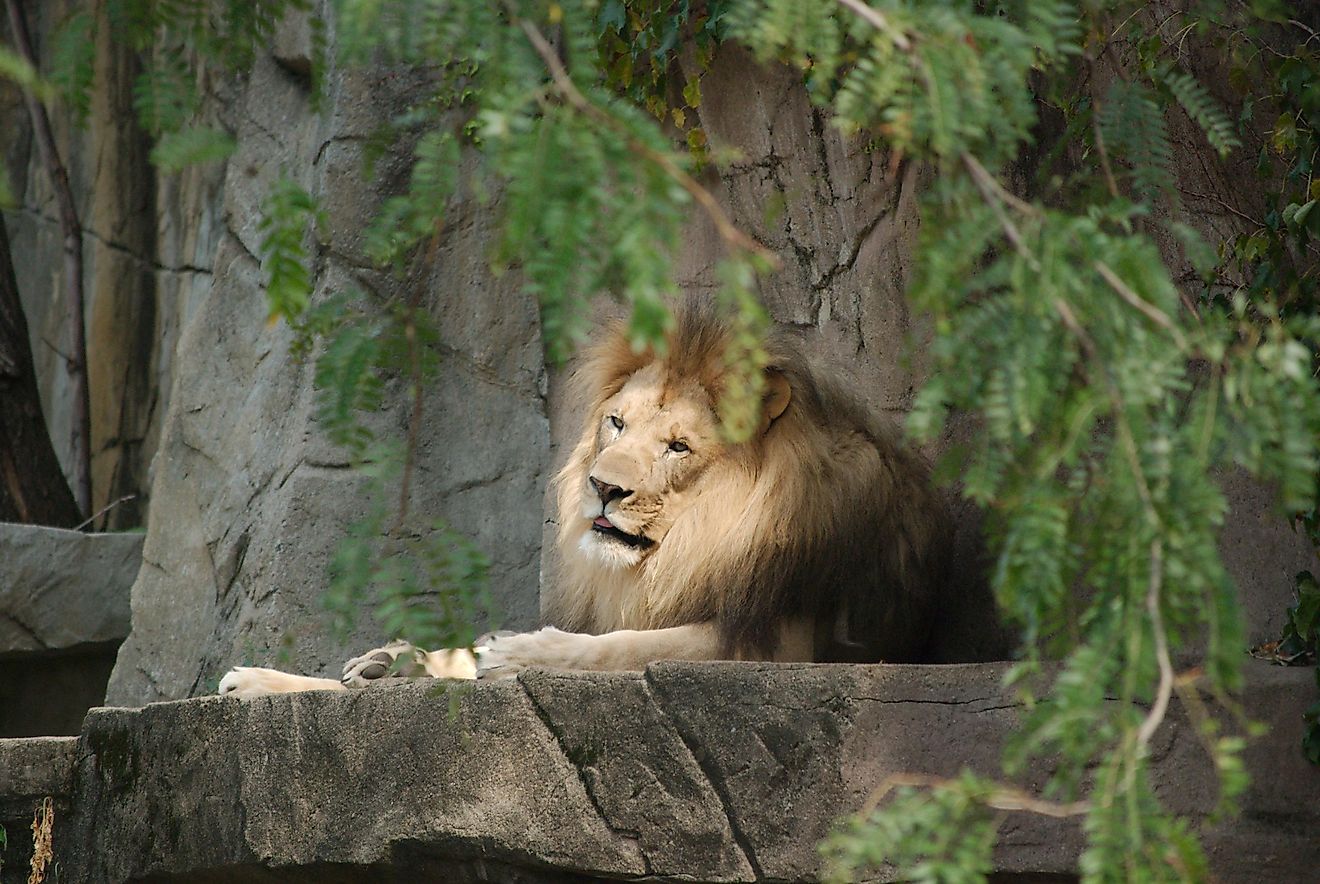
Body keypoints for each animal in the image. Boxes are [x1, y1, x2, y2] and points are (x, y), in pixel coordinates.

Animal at [221, 306, 955, 701]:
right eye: (616, 424)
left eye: (679, 446)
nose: (603, 487)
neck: (696, 539)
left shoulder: (783, 641)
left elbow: (621, 647)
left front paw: (519, 653)